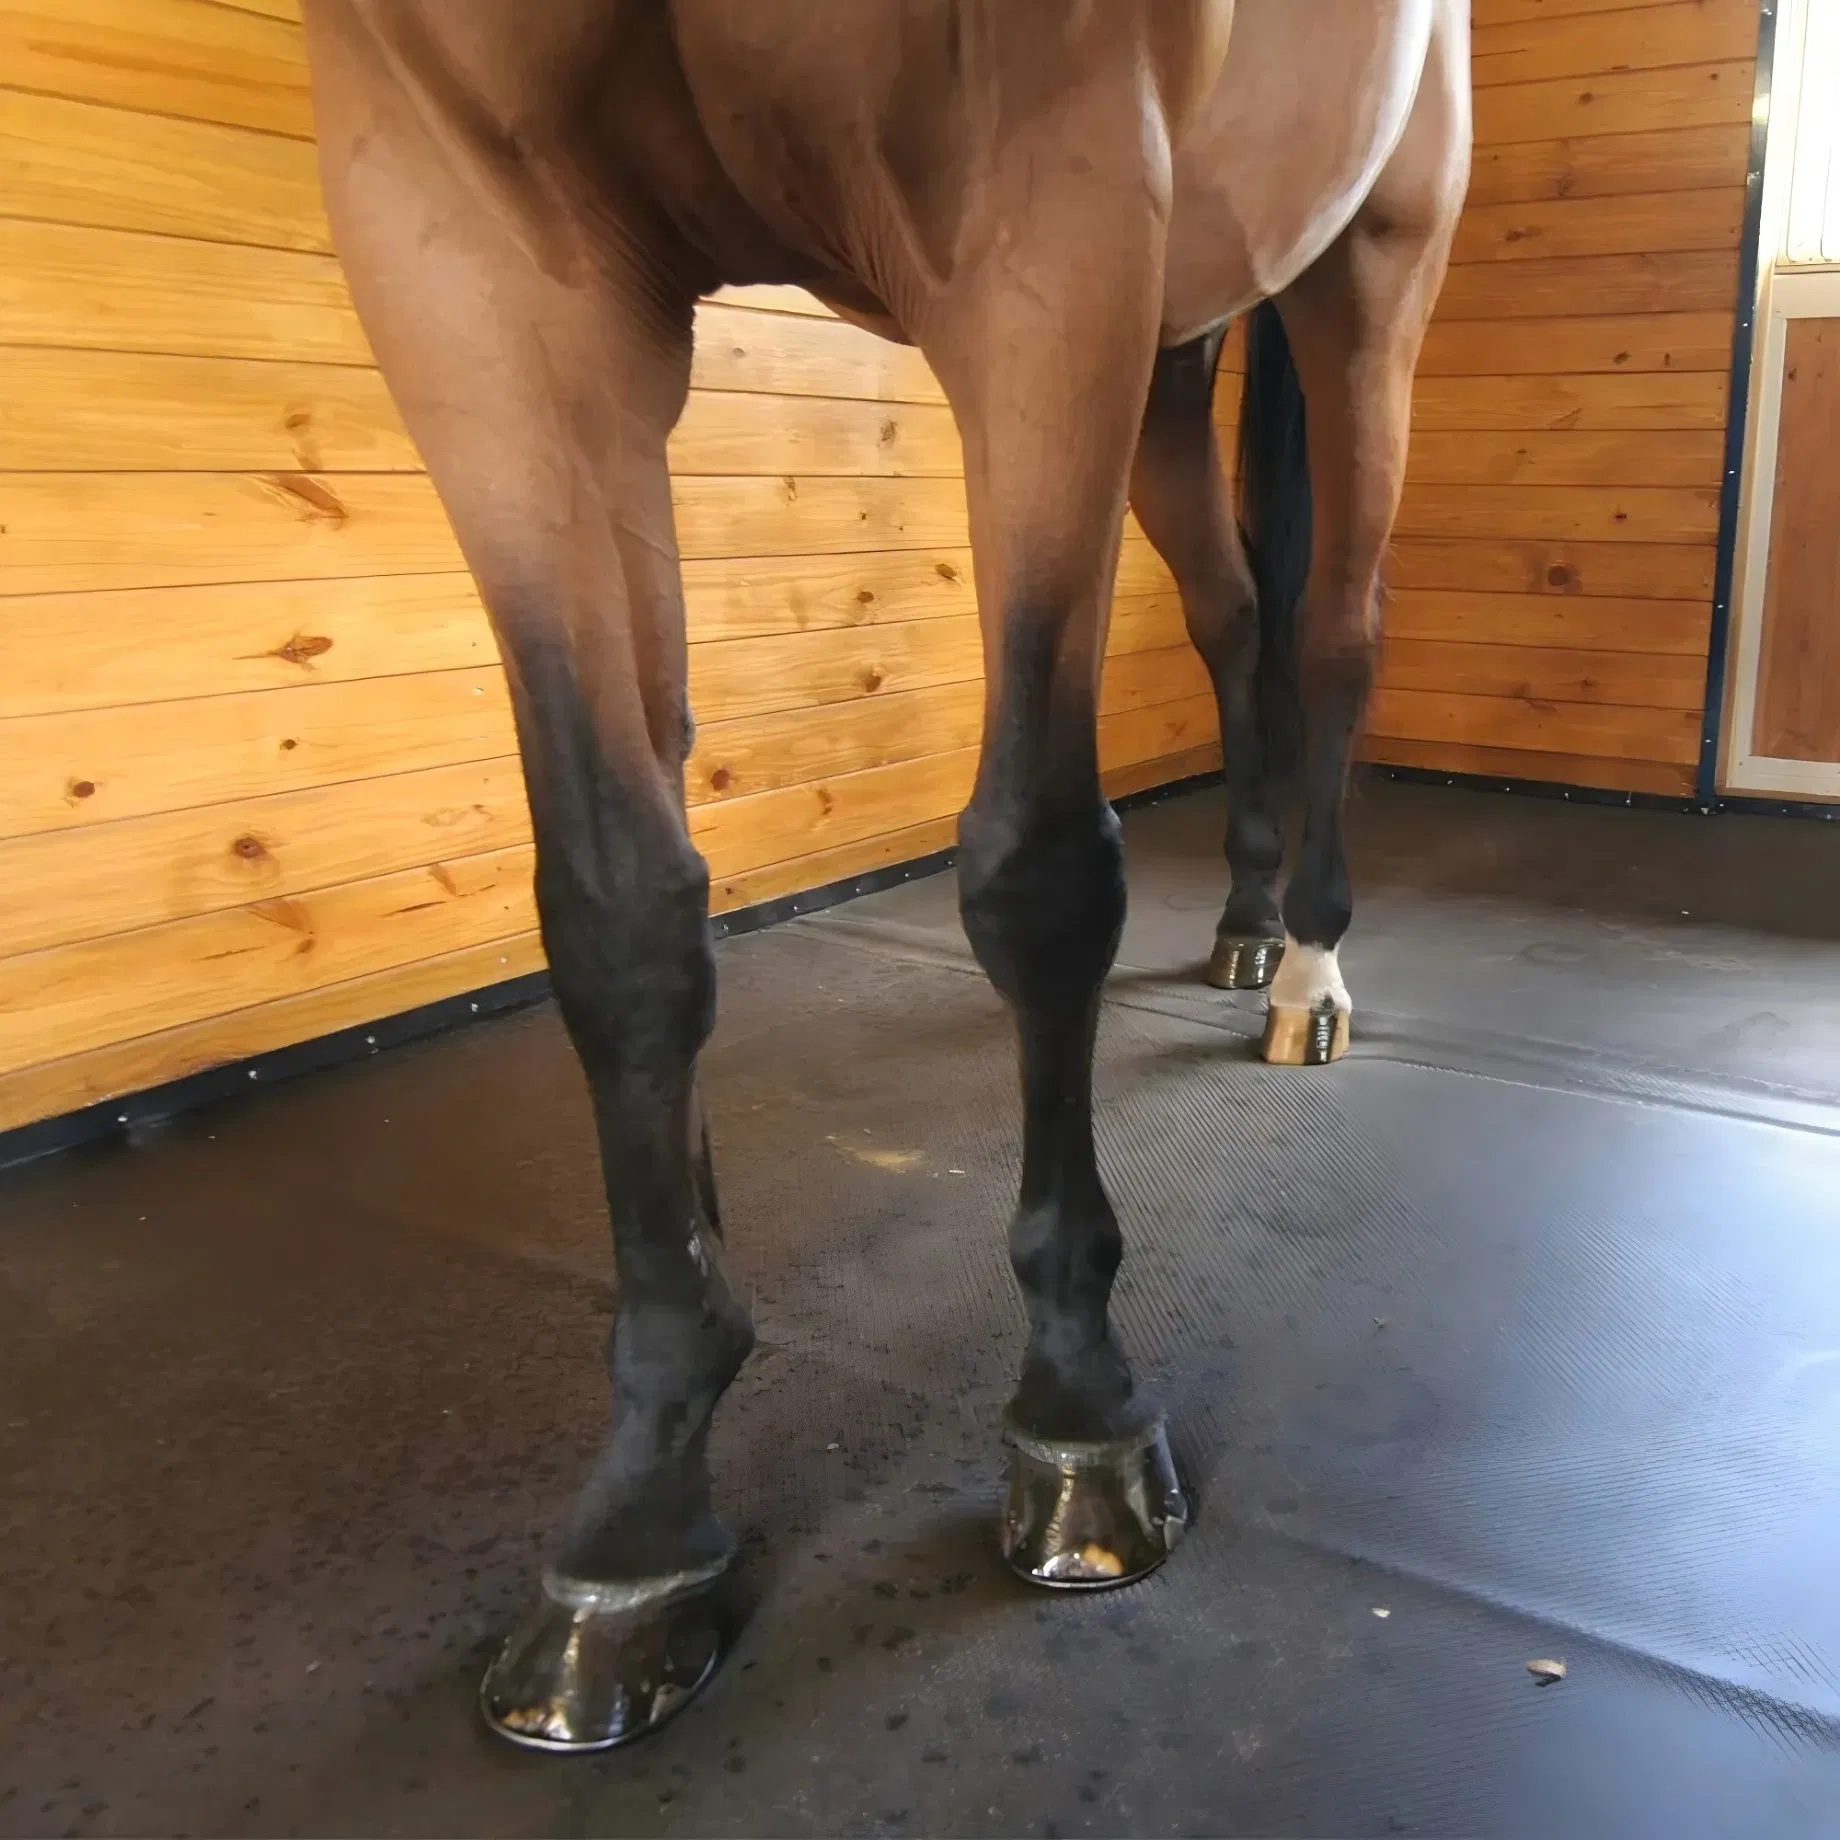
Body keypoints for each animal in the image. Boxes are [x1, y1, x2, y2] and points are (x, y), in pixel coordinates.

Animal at [297, 0, 1470, 1751]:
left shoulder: (1052, 208)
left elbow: (1040, 873)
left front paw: (1080, 1408)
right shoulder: (473, 258)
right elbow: (619, 902)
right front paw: (645, 1505)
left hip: (1368, 269)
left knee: (1334, 635)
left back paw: (1316, 974)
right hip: (1174, 356)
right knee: (1235, 615)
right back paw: (1251, 927)